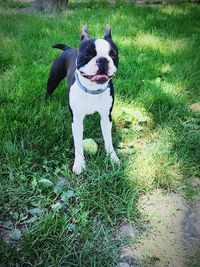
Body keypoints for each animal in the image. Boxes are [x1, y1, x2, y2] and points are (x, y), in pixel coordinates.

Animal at [46, 25, 119, 175]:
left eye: (113, 54)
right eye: (88, 54)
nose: (103, 59)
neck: (92, 89)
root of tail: (68, 49)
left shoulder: (106, 117)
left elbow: (108, 139)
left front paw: (113, 158)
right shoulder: (77, 120)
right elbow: (78, 143)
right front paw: (79, 163)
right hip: (53, 79)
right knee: (48, 91)